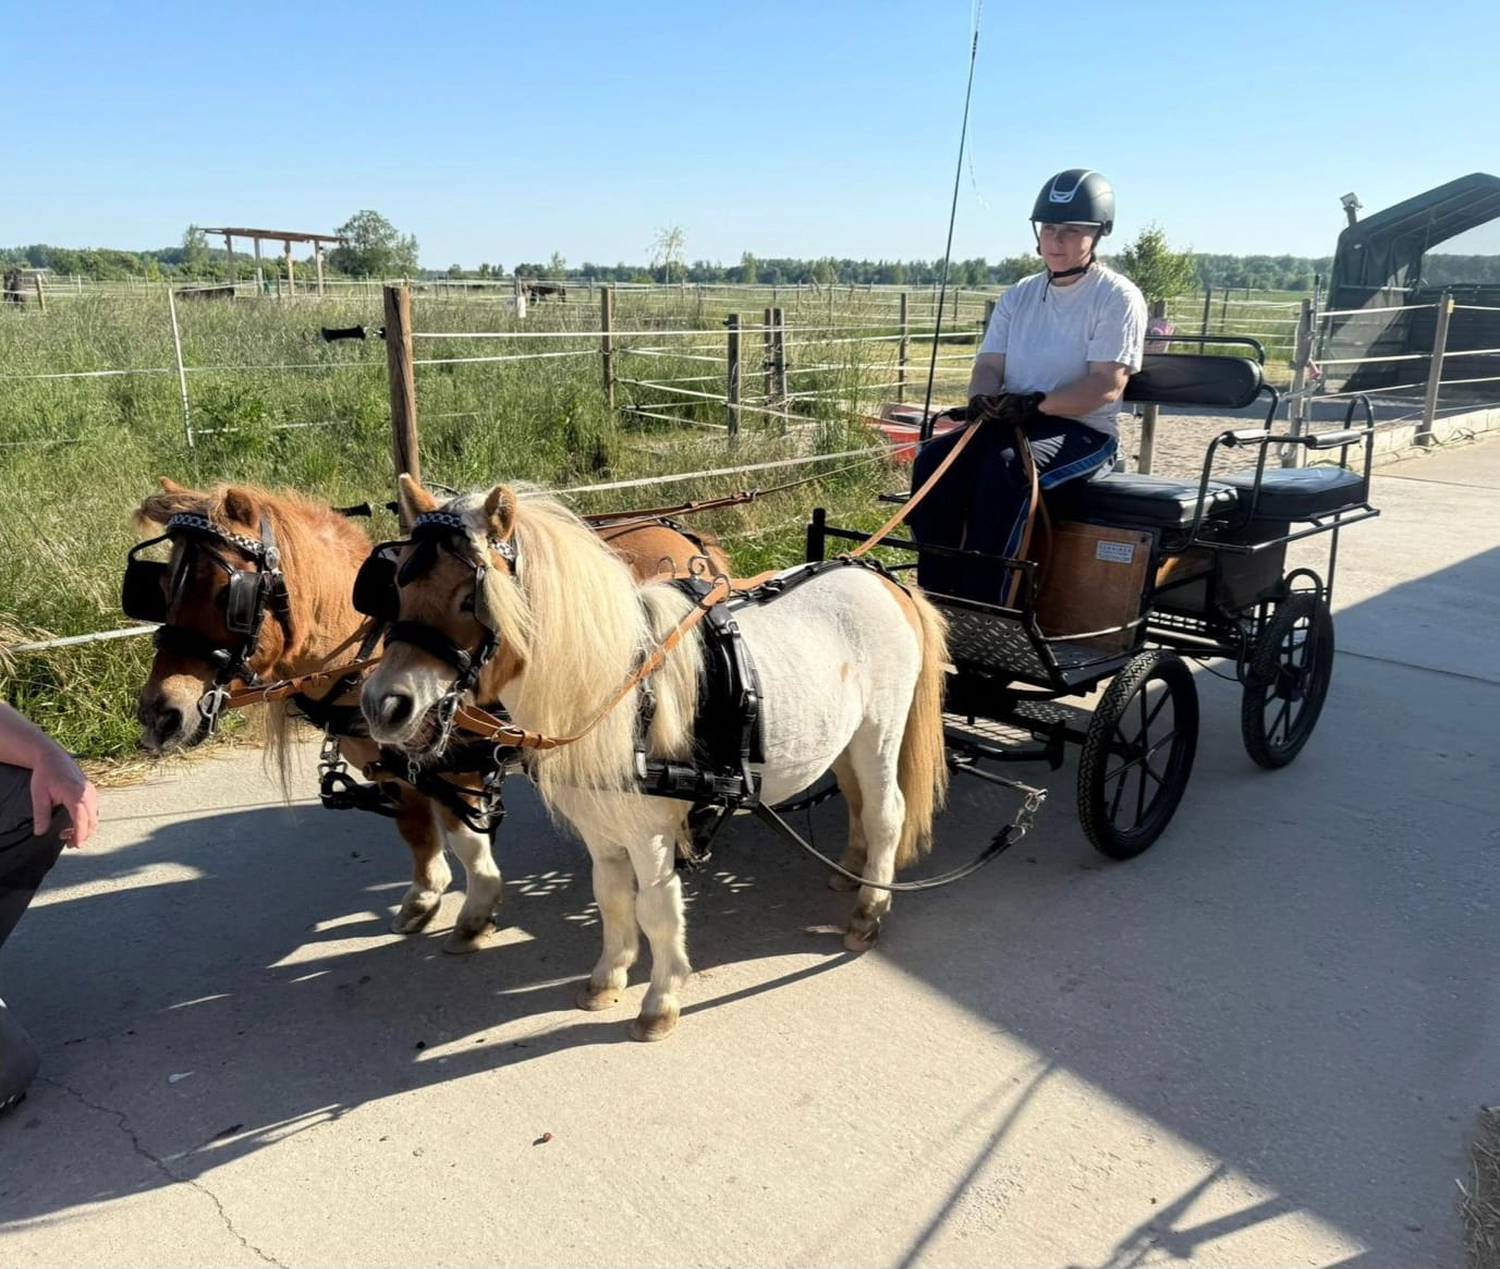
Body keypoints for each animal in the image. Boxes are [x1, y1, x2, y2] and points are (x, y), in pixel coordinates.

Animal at [127, 476, 726, 952]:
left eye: (226, 594)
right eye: (159, 589)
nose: (161, 713)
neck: (364, 652)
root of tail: (684, 536)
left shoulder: (457, 760)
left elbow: (465, 837)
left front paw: (478, 908)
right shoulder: (390, 764)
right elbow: (416, 829)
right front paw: (425, 896)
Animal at [361, 475, 950, 1040]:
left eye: (470, 599)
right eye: (397, 587)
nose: (382, 704)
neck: (617, 692)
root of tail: (882, 578)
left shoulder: (650, 834)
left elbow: (657, 910)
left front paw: (660, 1002)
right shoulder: (600, 828)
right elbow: (612, 898)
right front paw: (608, 978)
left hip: (879, 732)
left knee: (886, 813)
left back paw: (868, 912)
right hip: (844, 741)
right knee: (856, 801)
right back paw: (853, 871)